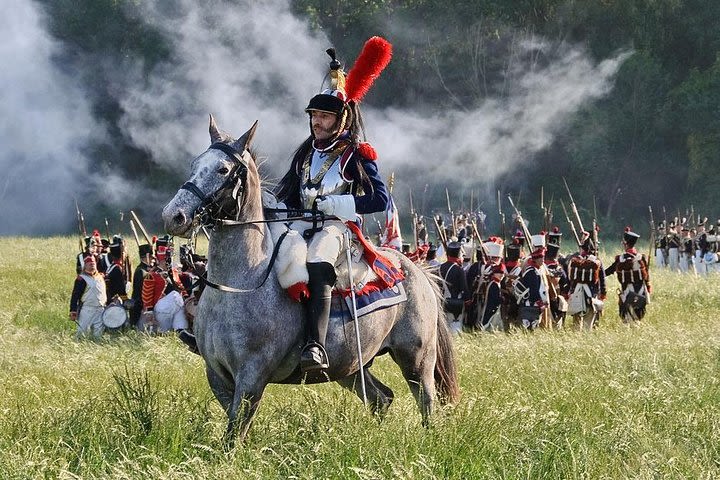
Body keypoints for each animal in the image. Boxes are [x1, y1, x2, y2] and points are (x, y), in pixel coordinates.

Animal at [161, 118, 458, 444]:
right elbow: (234, 428)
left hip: (417, 360)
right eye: (195, 164)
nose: (174, 216)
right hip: (351, 367)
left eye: (223, 170)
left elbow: (235, 433)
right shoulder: (217, 376)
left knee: (427, 403)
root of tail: (416, 270)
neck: (240, 284)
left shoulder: (251, 377)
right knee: (381, 398)